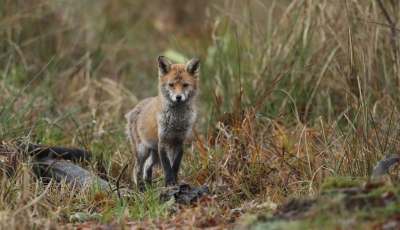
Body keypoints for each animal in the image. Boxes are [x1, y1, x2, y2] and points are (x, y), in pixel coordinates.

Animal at [126, 56, 199, 190]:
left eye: (185, 85)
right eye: (171, 85)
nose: (178, 97)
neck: (177, 122)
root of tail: (134, 109)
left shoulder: (179, 142)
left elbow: (175, 166)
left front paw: (174, 183)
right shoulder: (164, 142)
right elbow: (167, 167)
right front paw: (169, 183)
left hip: (154, 152)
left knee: (147, 167)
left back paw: (149, 187)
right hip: (142, 150)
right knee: (137, 169)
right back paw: (140, 188)